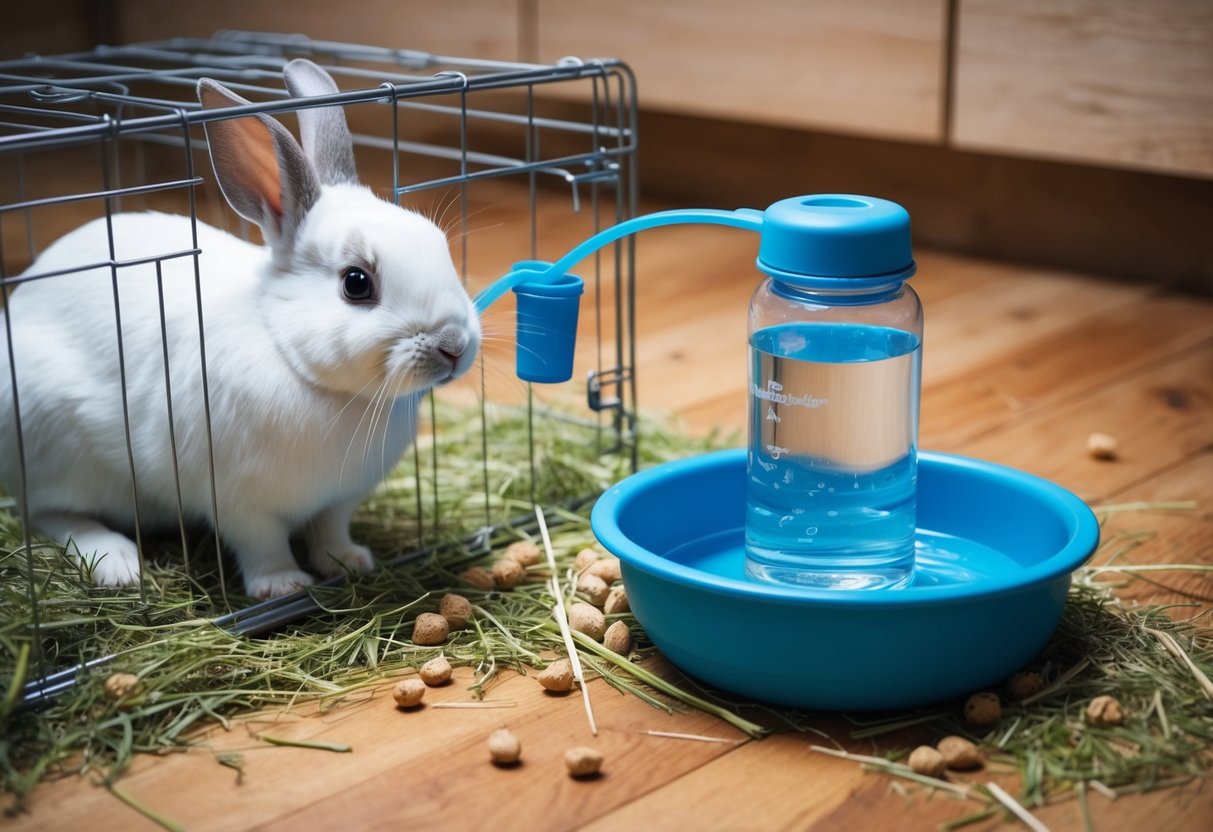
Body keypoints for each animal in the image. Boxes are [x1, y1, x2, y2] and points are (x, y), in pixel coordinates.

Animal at [0, 60, 480, 599]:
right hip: (54, 444)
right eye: (357, 283)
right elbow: (262, 544)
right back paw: (117, 564)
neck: (299, 364)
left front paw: (351, 562)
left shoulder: (339, 499)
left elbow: (330, 530)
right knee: (50, 514)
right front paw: (283, 586)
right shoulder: (238, 501)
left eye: (438, 243)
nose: (454, 346)